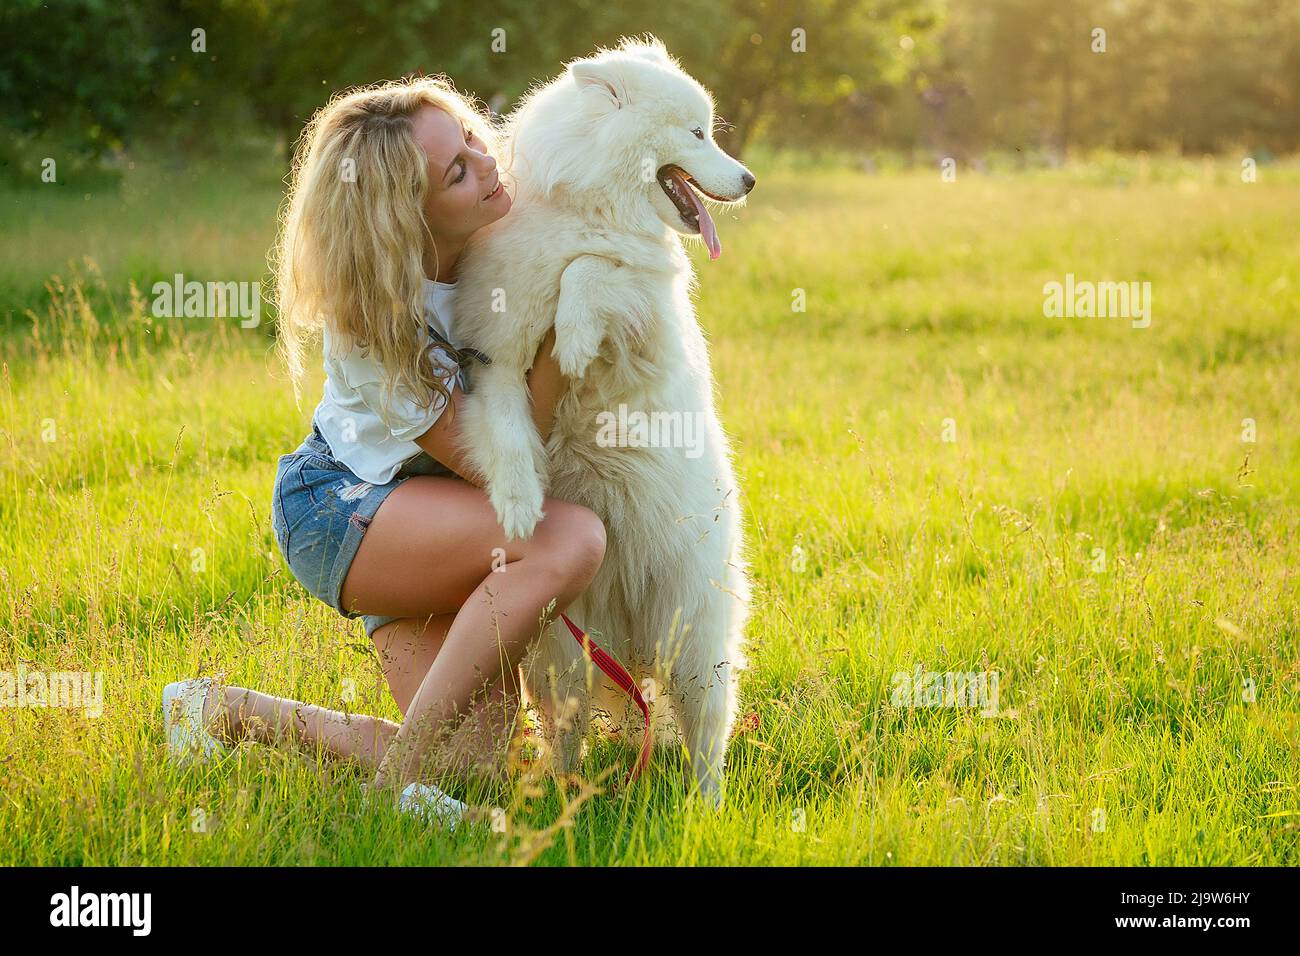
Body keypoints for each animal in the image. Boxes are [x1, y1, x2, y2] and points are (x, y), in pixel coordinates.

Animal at [454, 37, 754, 806]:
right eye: (697, 133)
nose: (749, 180)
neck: (584, 204)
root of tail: (628, 636)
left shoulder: (649, 317)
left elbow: (591, 270)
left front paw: (577, 334)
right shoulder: (494, 361)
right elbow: (506, 428)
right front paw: (519, 501)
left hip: (692, 635)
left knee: (705, 734)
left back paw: (707, 807)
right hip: (556, 649)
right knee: (569, 730)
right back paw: (561, 794)